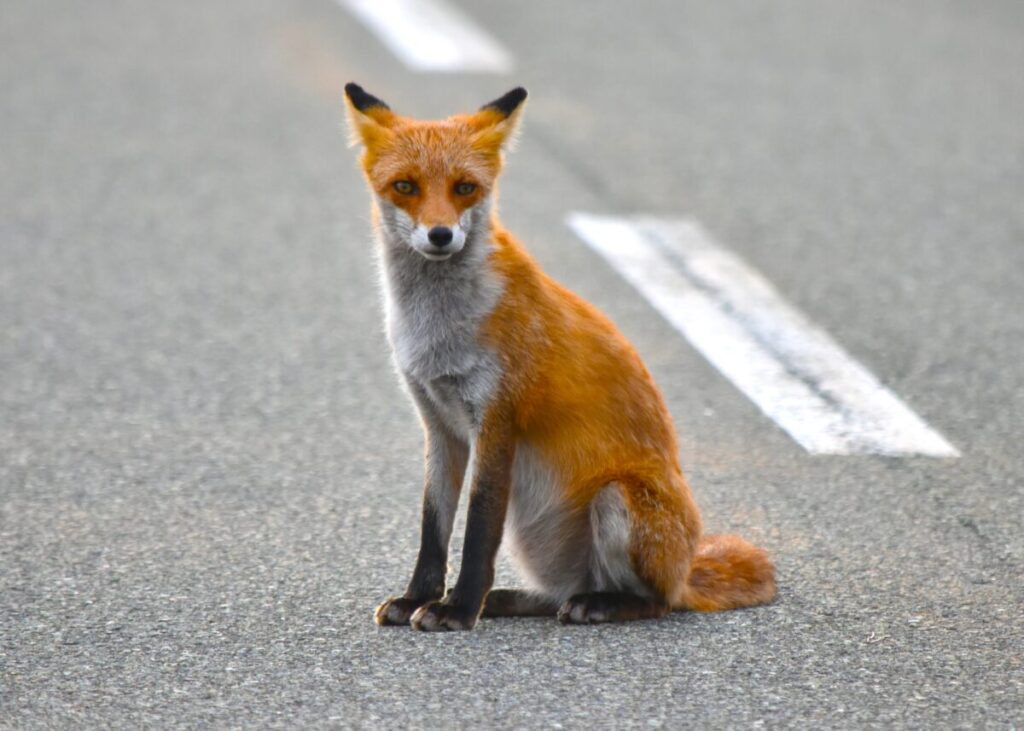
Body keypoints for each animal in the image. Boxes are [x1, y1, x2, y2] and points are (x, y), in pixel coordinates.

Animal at [344, 82, 774, 630]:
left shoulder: (498, 420)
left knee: (655, 602)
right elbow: (433, 527)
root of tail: (685, 570)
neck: (436, 330)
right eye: (405, 186)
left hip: (617, 500)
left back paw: (601, 604)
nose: (441, 235)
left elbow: (477, 532)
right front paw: (418, 596)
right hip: (536, 538)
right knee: (557, 594)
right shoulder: (439, 425)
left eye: (465, 188)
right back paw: (513, 600)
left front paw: (458, 609)